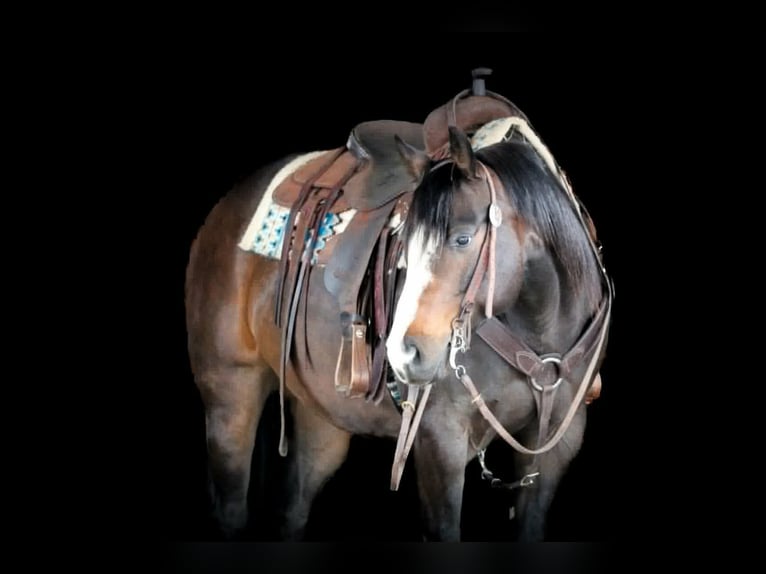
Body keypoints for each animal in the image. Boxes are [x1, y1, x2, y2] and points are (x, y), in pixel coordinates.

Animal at [184, 86, 612, 541]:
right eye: (404, 243)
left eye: (463, 239)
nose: (404, 355)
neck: (538, 330)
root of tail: (223, 211)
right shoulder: (440, 439)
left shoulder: (557, 444)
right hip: (231, 393)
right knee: (231, 505)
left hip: (323, 418)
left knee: (292, 509)